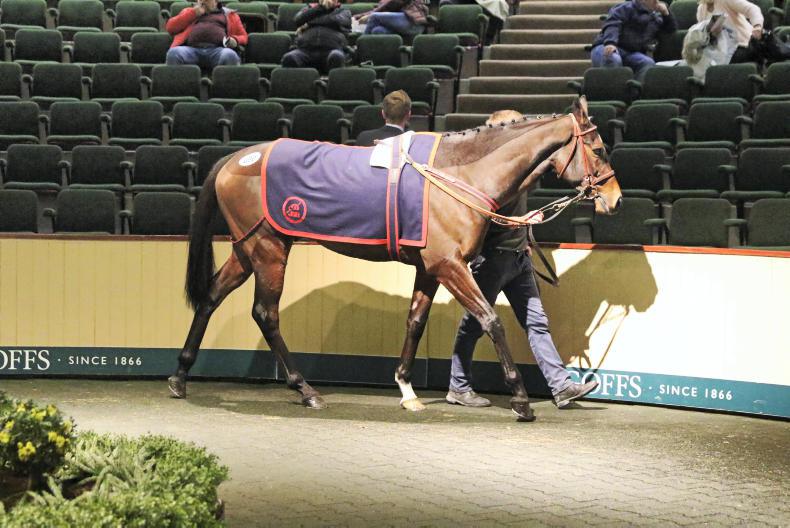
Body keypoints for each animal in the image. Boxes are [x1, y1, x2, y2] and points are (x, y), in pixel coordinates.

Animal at [169, 96, 622, 422]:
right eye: (599, 148)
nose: (615, 200)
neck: (459, 174)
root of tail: (235, 159)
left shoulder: (430, 269)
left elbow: (416, 322)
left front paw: (406, 390)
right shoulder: (449, 266)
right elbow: (489, 320)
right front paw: (522, 400)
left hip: (247, 251)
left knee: (211, 297)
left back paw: (179, 377)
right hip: (269, 250)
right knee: (266, 314)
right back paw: (305, 389)